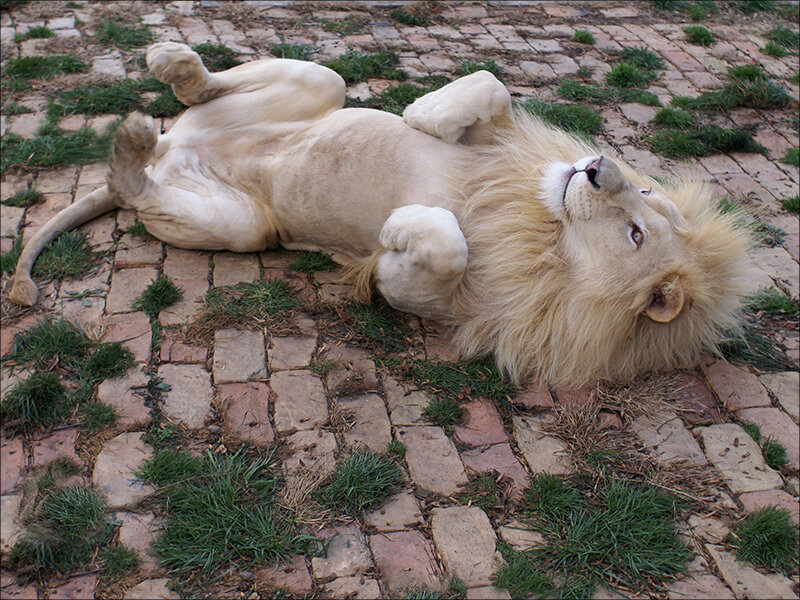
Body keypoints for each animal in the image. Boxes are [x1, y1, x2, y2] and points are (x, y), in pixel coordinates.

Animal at [8, 43, 751, 386]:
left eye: (635, 232)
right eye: (647, 202)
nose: (597, 166)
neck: (541, 231)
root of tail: (173, 149)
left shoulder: (444, 304)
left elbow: (442, 247)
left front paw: (398, 229)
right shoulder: (500, 144)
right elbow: (490, 84)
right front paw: (424, 112)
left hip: (245, 228)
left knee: (136, 187)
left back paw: (130, 144)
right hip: (318, 86)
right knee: (242, 85)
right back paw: (172, 61)